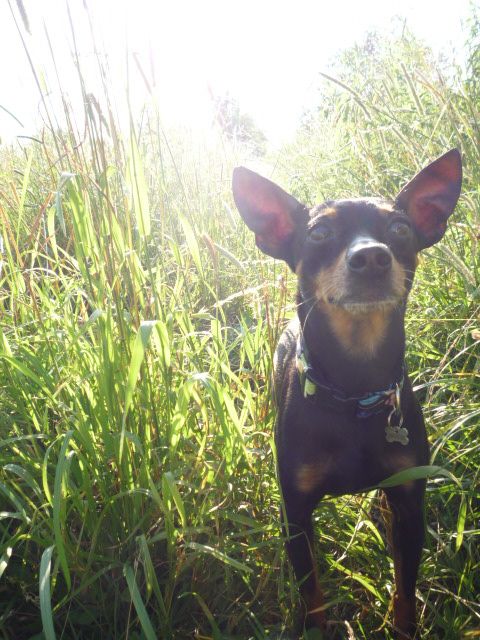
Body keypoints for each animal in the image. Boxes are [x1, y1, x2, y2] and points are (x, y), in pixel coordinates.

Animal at [232, 149, 462, 638]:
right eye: (318, 233)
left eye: (400, 228)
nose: (372, 257)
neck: (354, 389)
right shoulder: (296, 515)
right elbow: (313, 595)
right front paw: (317, 628)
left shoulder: (410, 503)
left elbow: (405, 589)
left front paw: (404, 627)